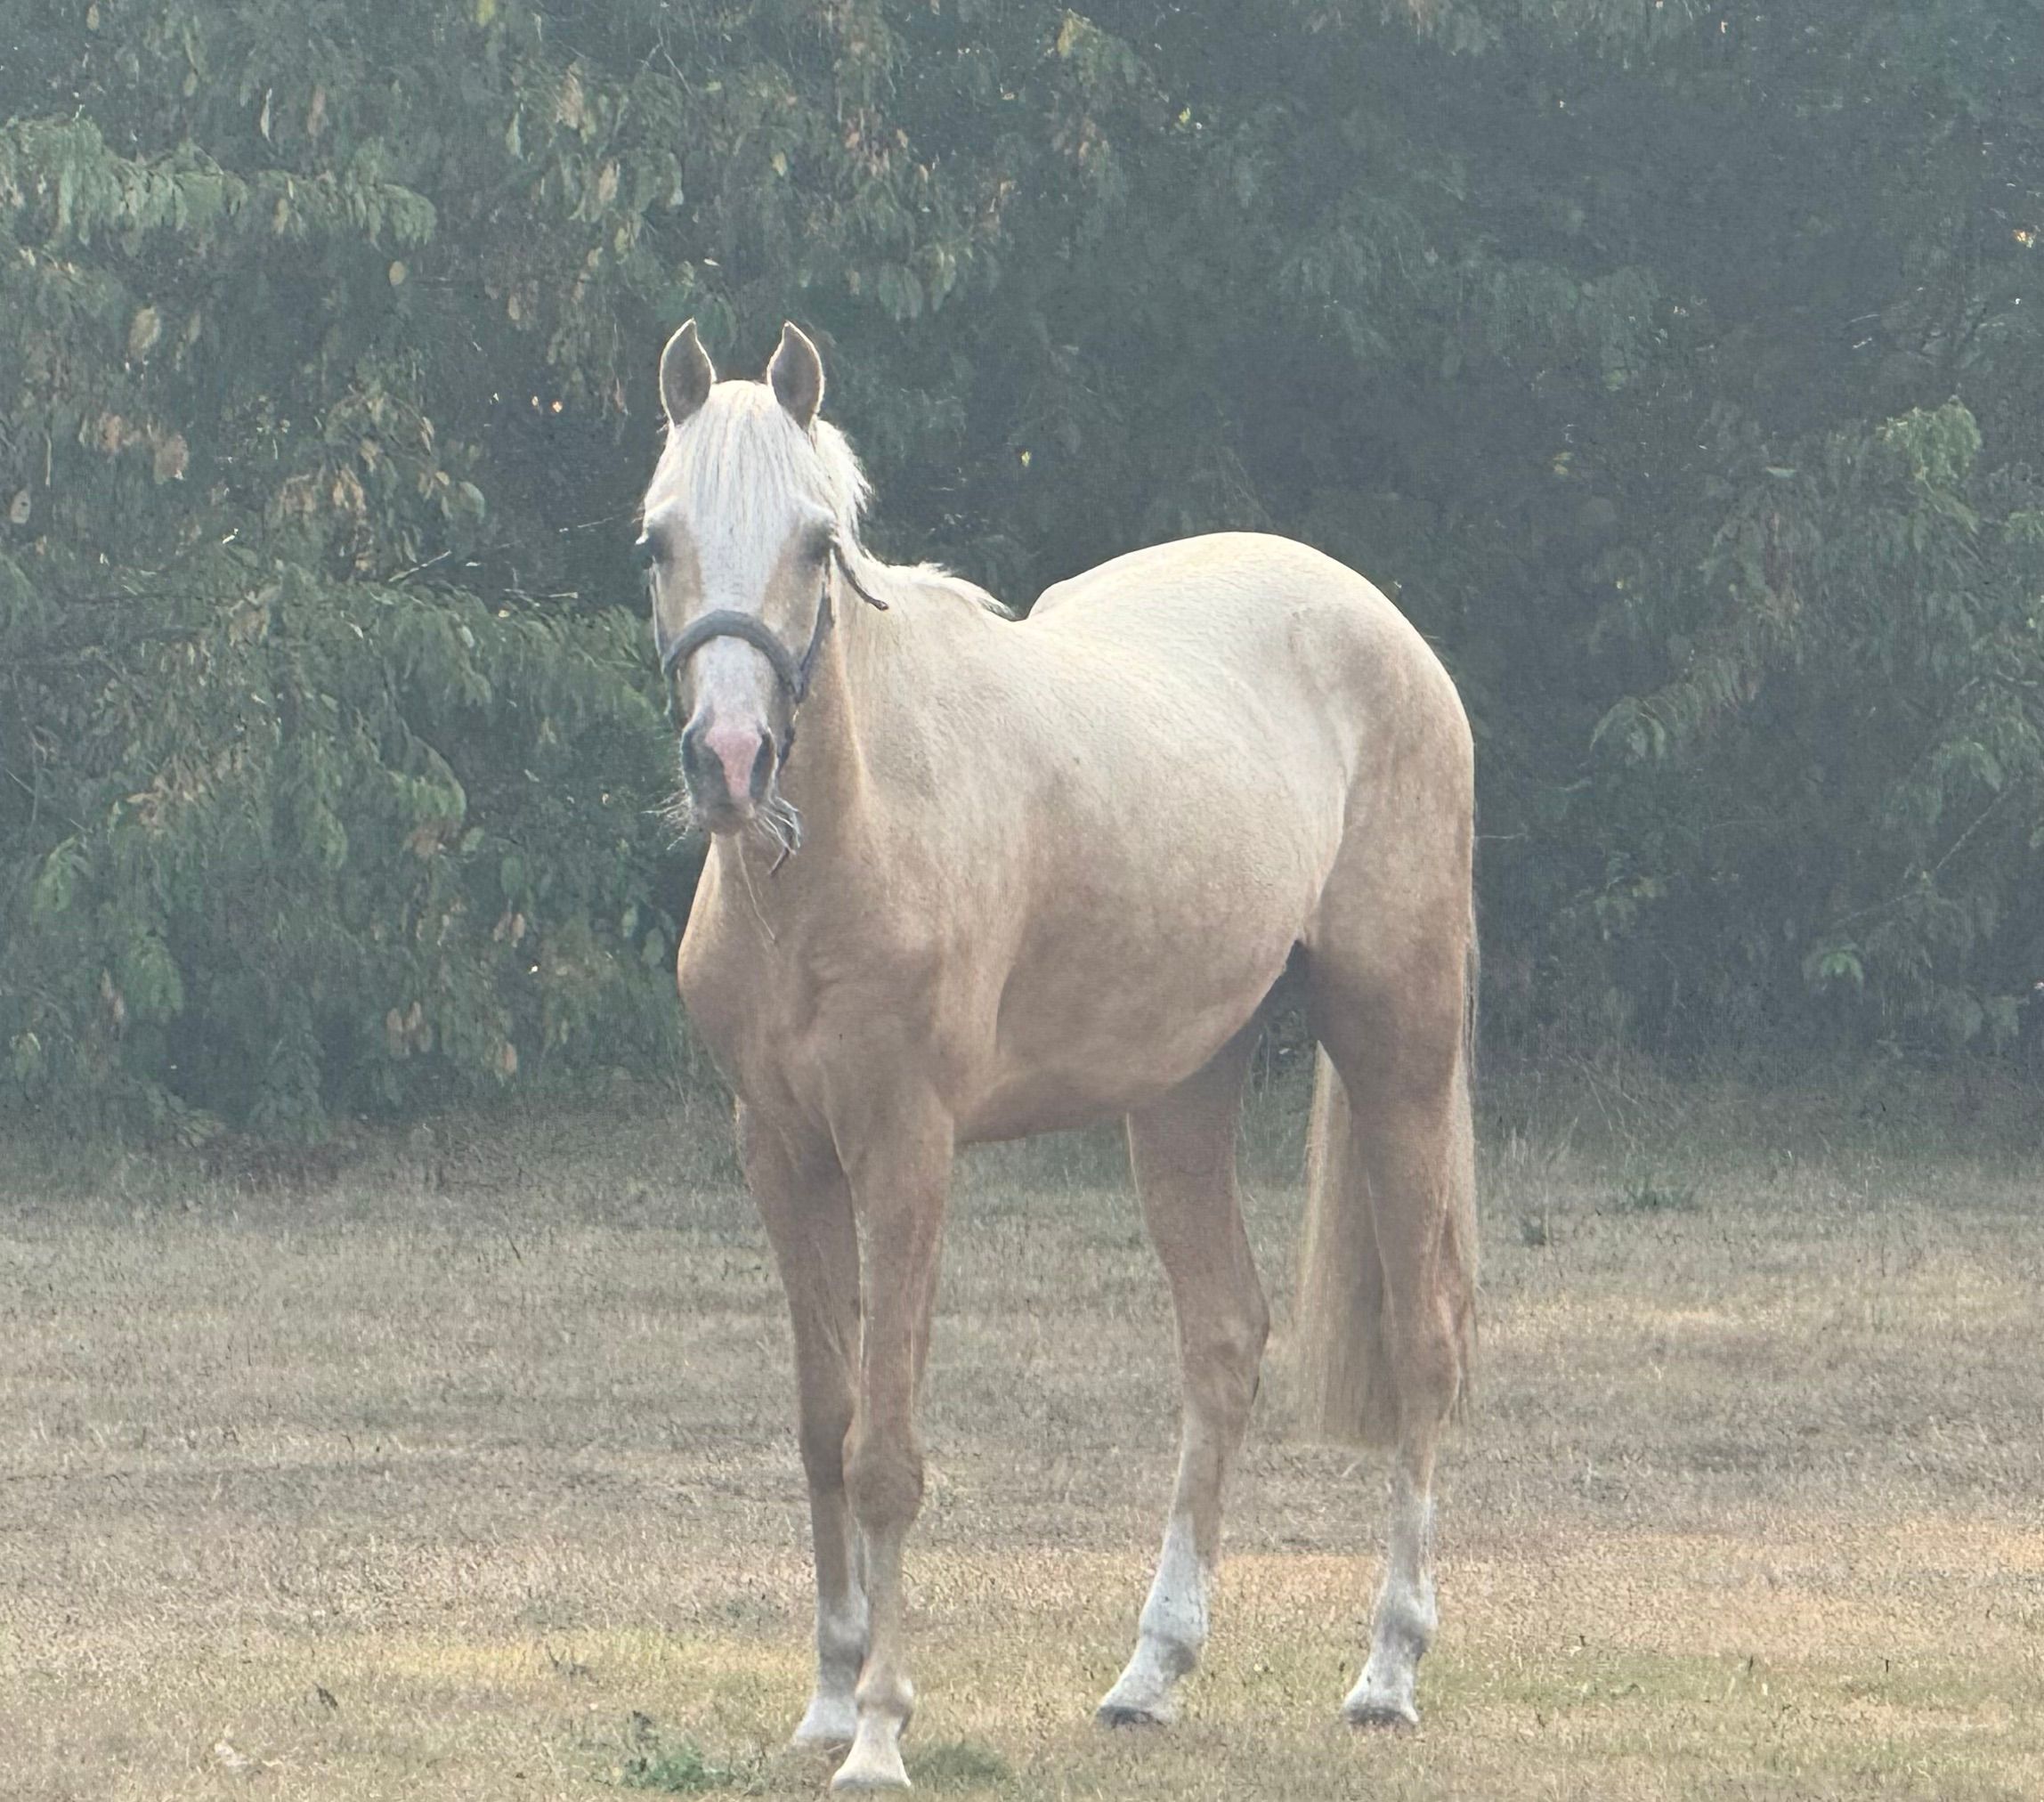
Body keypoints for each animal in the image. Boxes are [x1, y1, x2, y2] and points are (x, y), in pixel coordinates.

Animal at [640, 319, 1478, 1791]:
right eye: (658, 538)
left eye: (815, 542)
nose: (731, 762)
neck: (854, 844)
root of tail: (1386, 633)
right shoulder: (781, 1153)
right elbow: (821, 1427)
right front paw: (825, 1700)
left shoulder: (908, 1153)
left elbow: (887, 1450)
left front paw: (881, 1732)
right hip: (1185, 1090)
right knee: (1223, 1341)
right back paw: (1153, 1671)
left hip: (1399, 1043)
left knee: (1425, 1344)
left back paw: (1388, 1670)